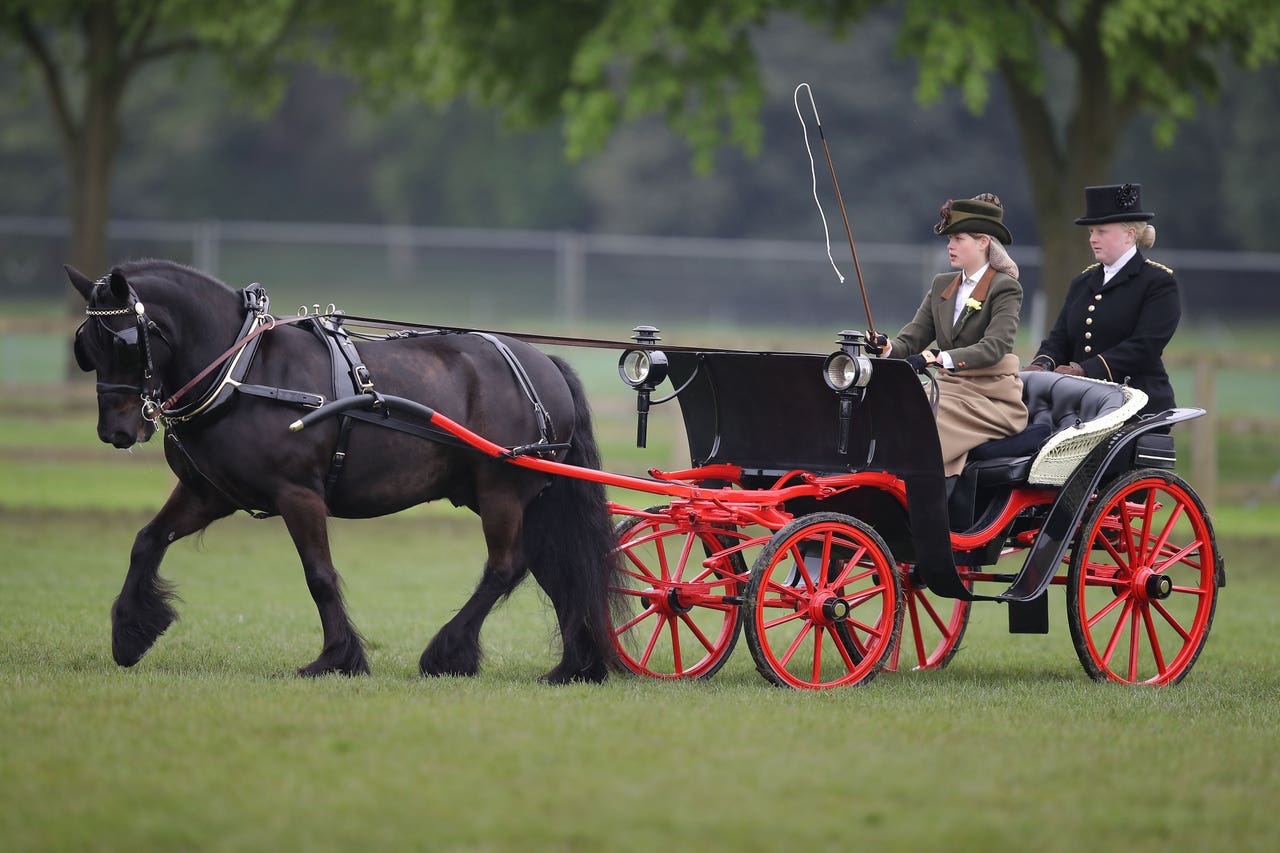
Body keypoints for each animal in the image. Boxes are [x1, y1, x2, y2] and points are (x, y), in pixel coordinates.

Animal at [68, 256, 624, 681]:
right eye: (85, 347)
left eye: (122, 341)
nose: (115, 431)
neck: (243, 371)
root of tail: (544, 364)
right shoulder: (209, 494)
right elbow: (147, 540)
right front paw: (129, 633)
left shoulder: (298, 493)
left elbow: (319, 575)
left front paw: (336, 658)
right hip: (523, 495)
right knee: (556, 566)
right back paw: (576, 667)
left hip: (502, 491)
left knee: (508, 566)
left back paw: (449, 653)